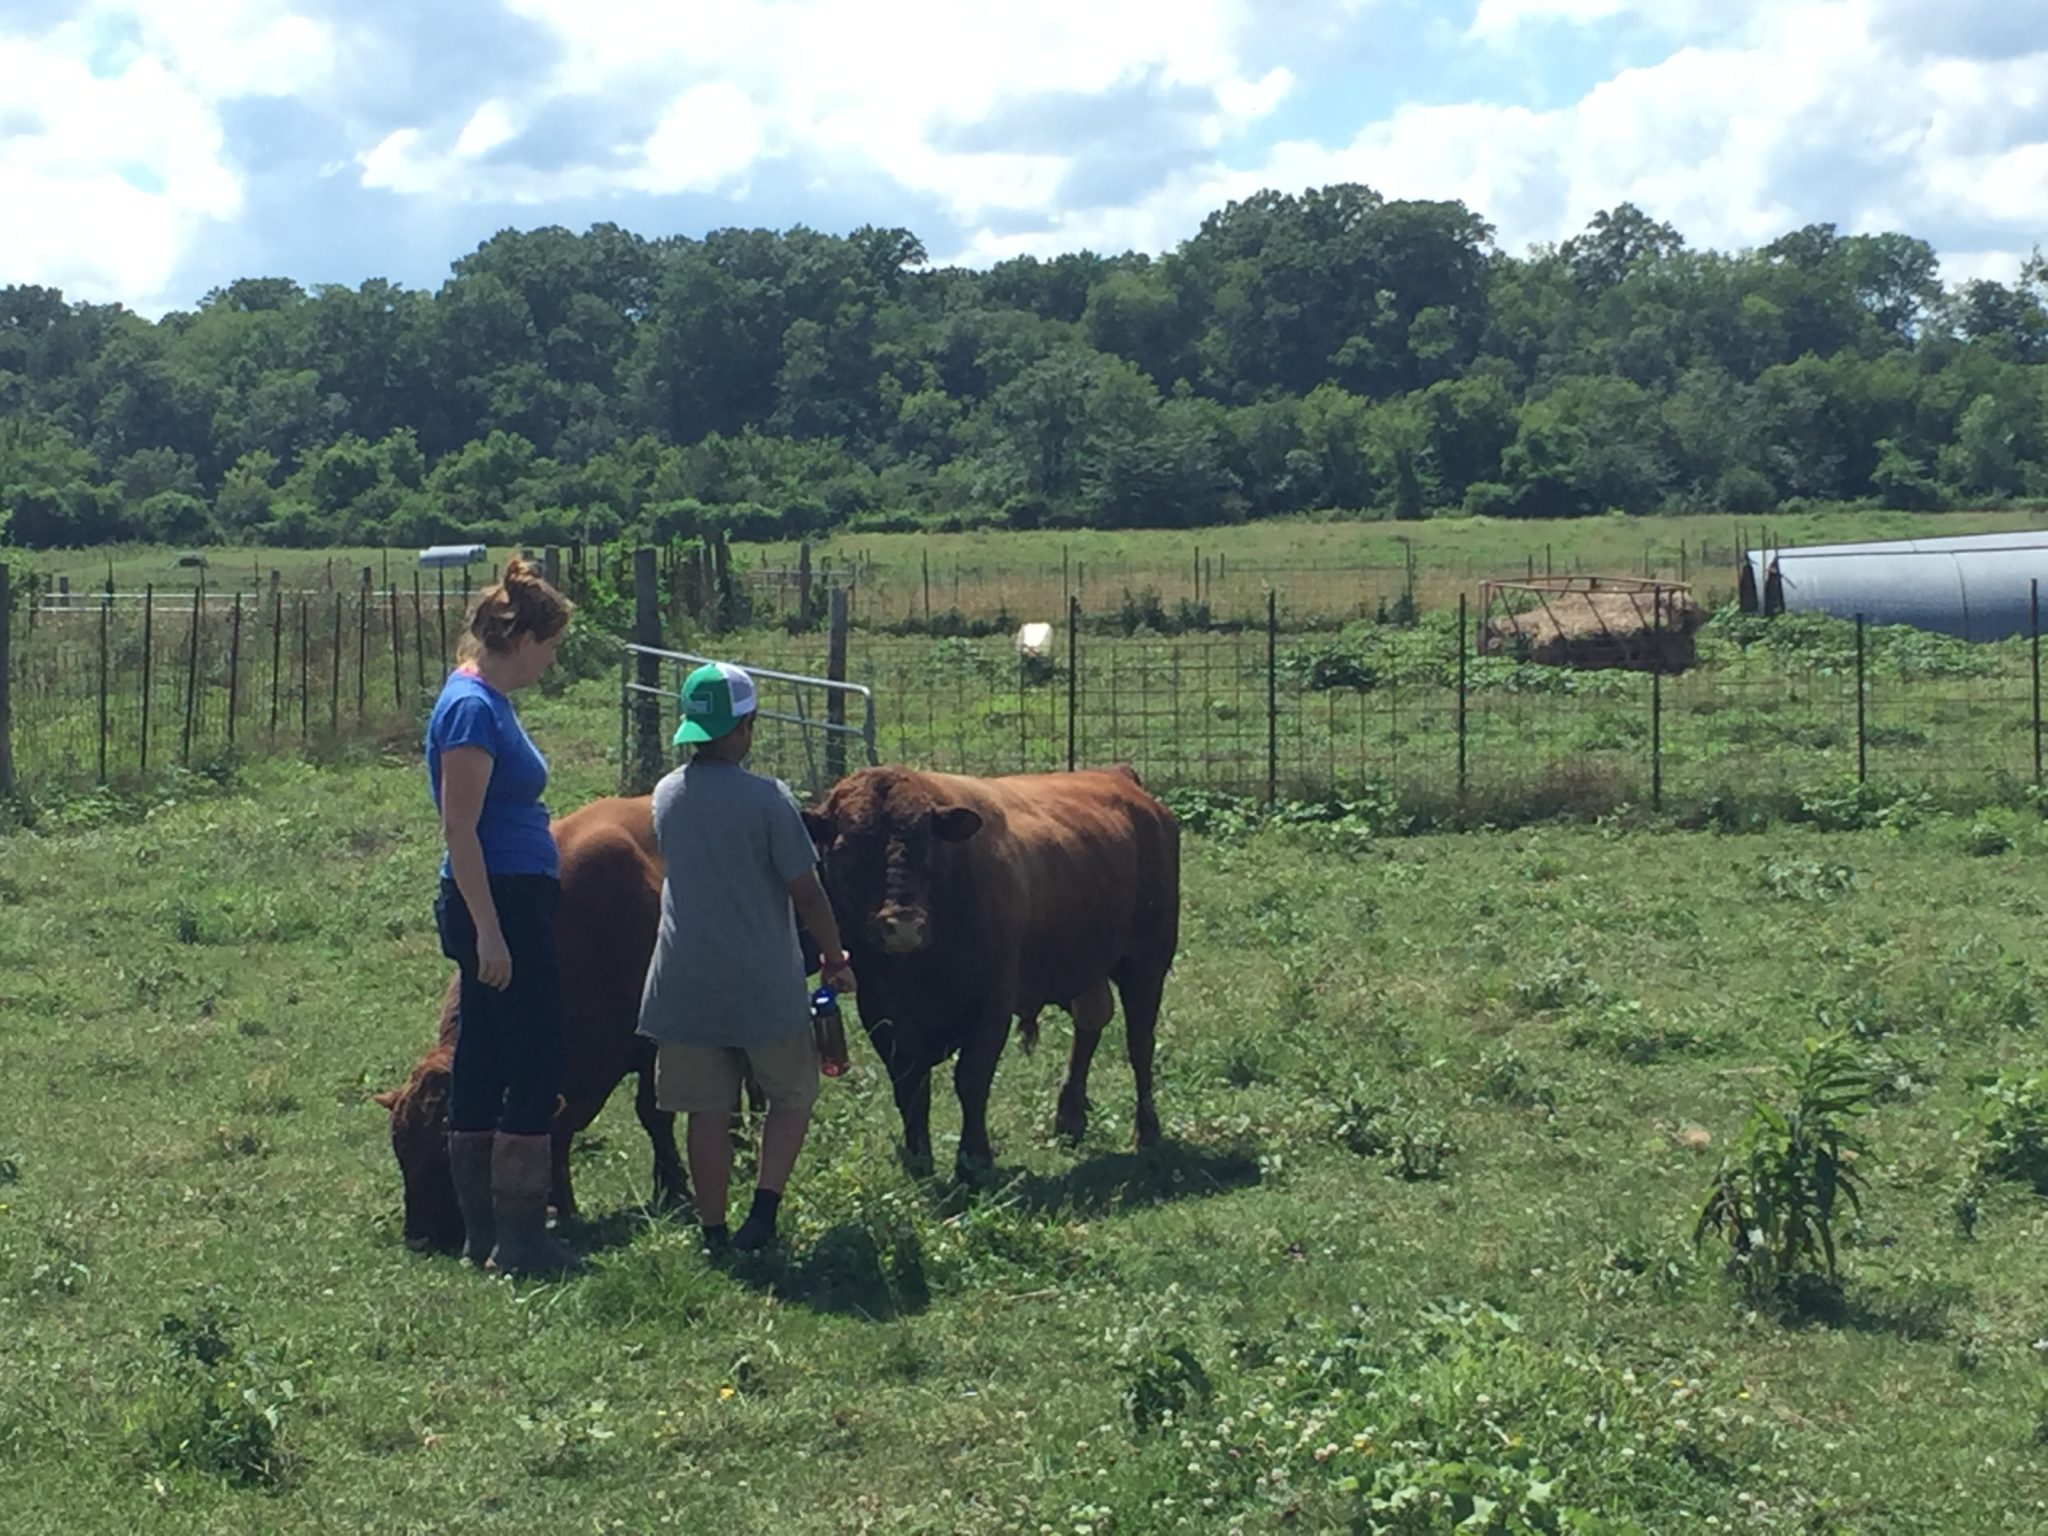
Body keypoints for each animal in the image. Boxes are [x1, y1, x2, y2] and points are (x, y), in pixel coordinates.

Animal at [372, 798, 684, 1253]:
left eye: (445, 1155)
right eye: (400, 1146)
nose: (419, 1238)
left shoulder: (653, 1046)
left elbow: (654, 1114)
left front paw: (673, 1190)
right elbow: (554, 1133)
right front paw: (561, 1207)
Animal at [802, 765, 1187, 1179]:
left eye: (929, 846)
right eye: (846, 850)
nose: (903, 925)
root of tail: (1117, 774)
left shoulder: (991, 1004)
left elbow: (971, 1080)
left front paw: (974, 1162)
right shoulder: (880, 1011)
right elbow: (910, 1089)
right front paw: (919, 1161)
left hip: (1147, 964)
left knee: (1139, 1045)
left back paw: (1146, 1132)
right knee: (1090, 1025)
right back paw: (1068, 1119)